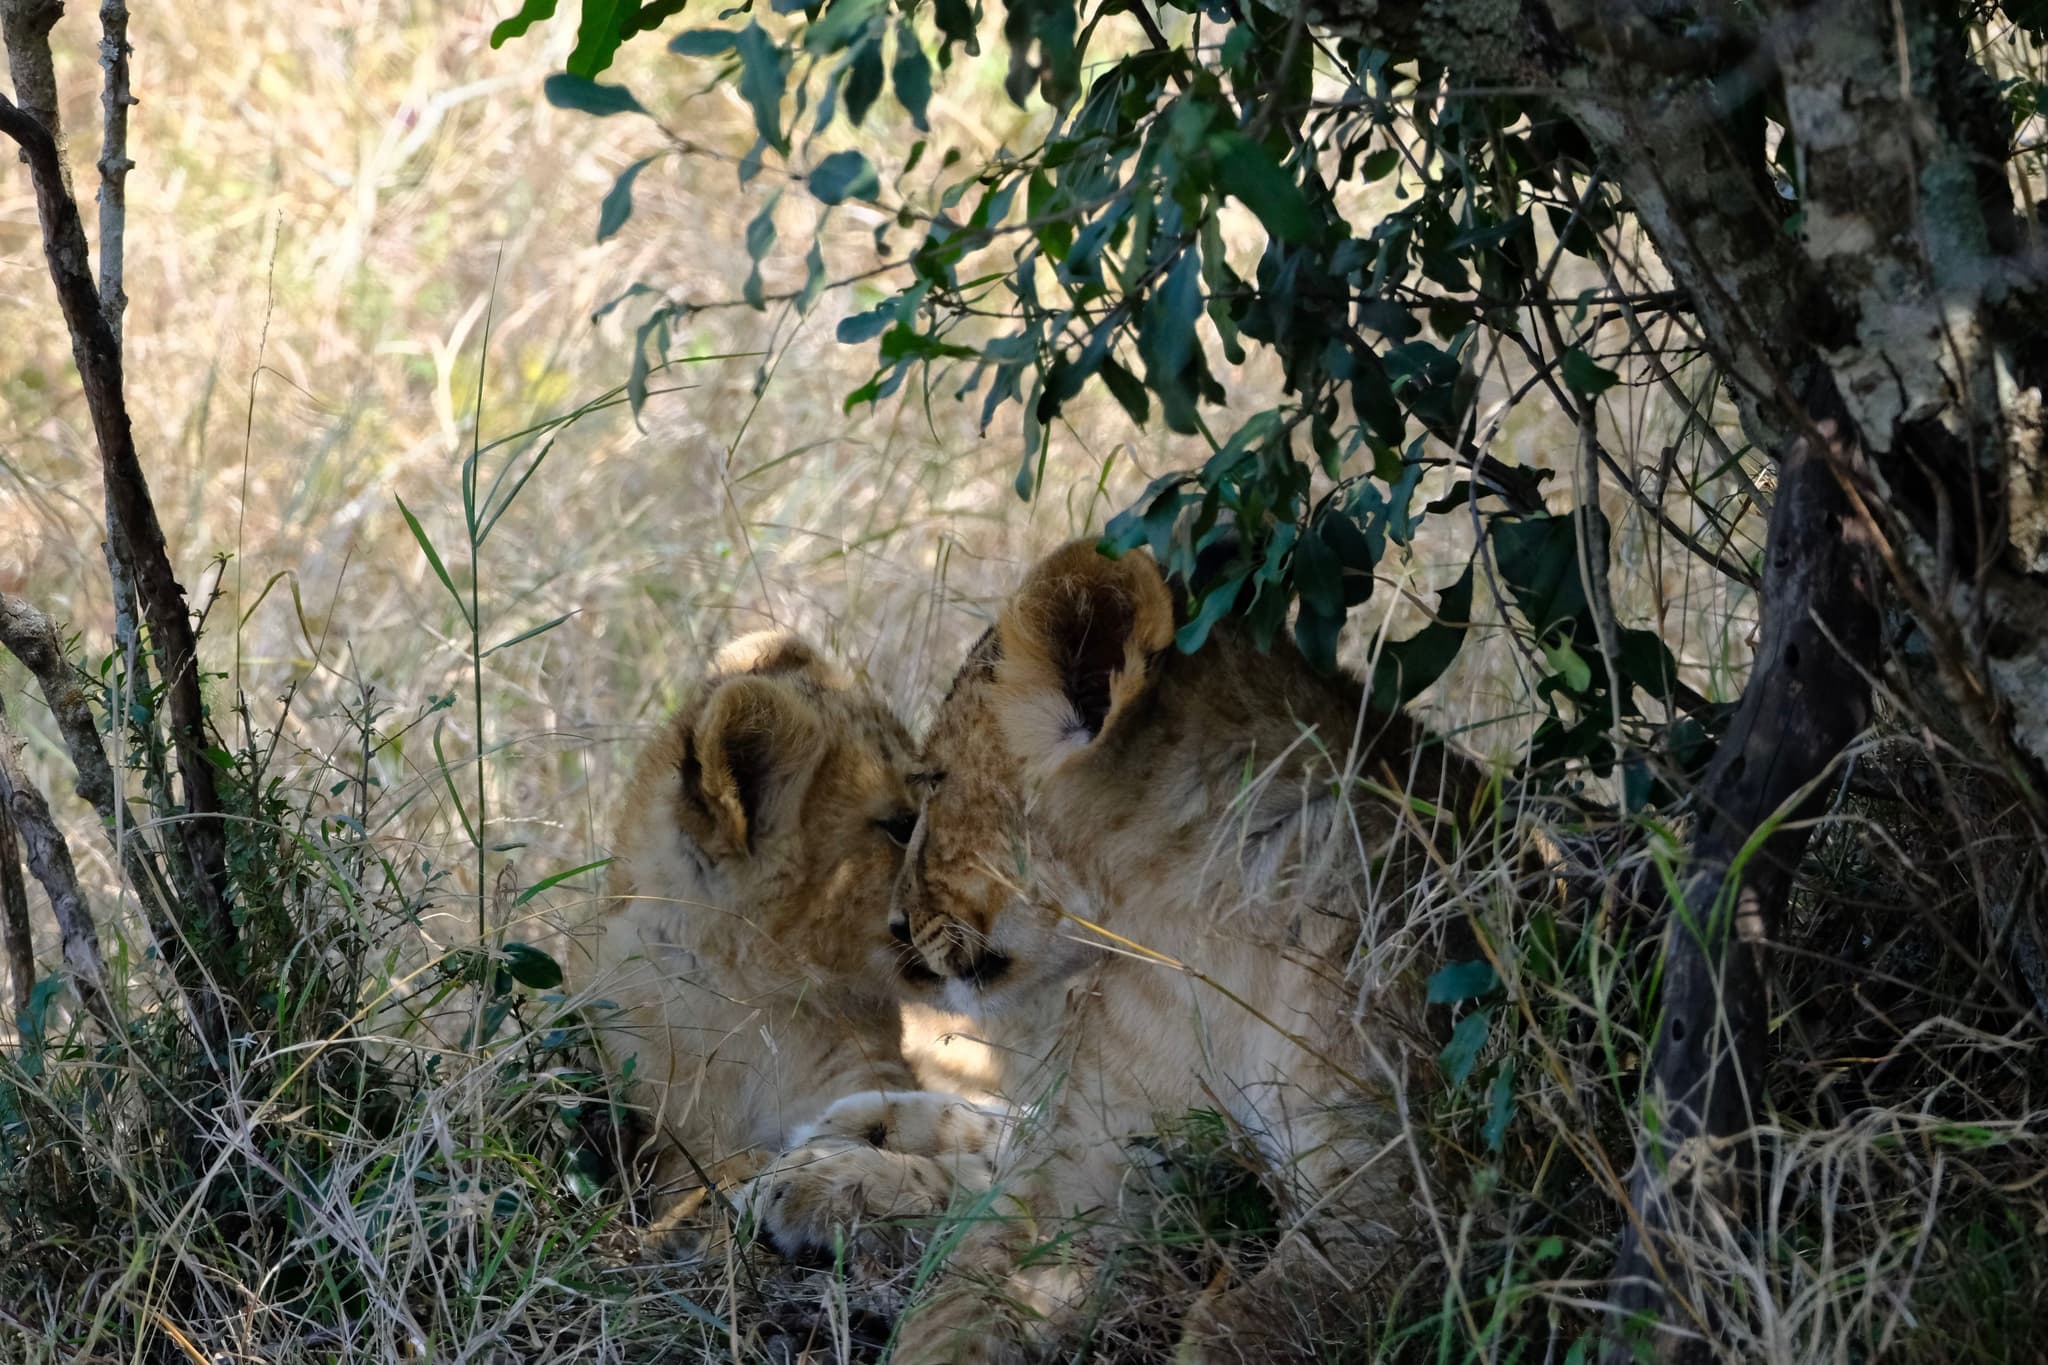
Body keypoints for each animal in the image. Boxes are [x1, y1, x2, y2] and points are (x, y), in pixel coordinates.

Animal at [883, 539, 1493, 1362]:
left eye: (934, 786)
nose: (895, 923)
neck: (1188, 928)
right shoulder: (1084, 1156)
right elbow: (955, 1299)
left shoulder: (1399, 1205)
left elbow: (1242, 1328)